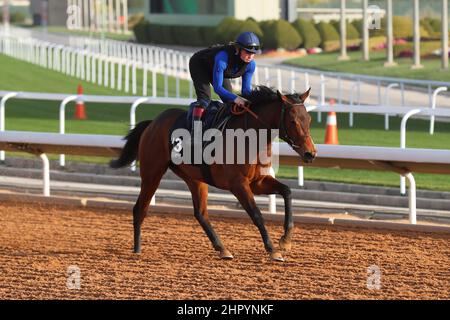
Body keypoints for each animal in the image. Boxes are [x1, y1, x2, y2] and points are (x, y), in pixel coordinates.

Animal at [110, 86, 316, 262]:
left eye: (309, 120)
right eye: (293, 121)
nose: (310, 153)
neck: (250, 137)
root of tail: (152, 123)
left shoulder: (257, 182)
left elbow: (287, 191)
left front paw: (286, 241)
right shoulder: (238, 184)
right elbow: (256, 214)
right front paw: (273, 250)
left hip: (195, 178)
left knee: (200, 213)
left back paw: (222, 248)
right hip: (152, 172)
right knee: (140, 208)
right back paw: (137, 249)